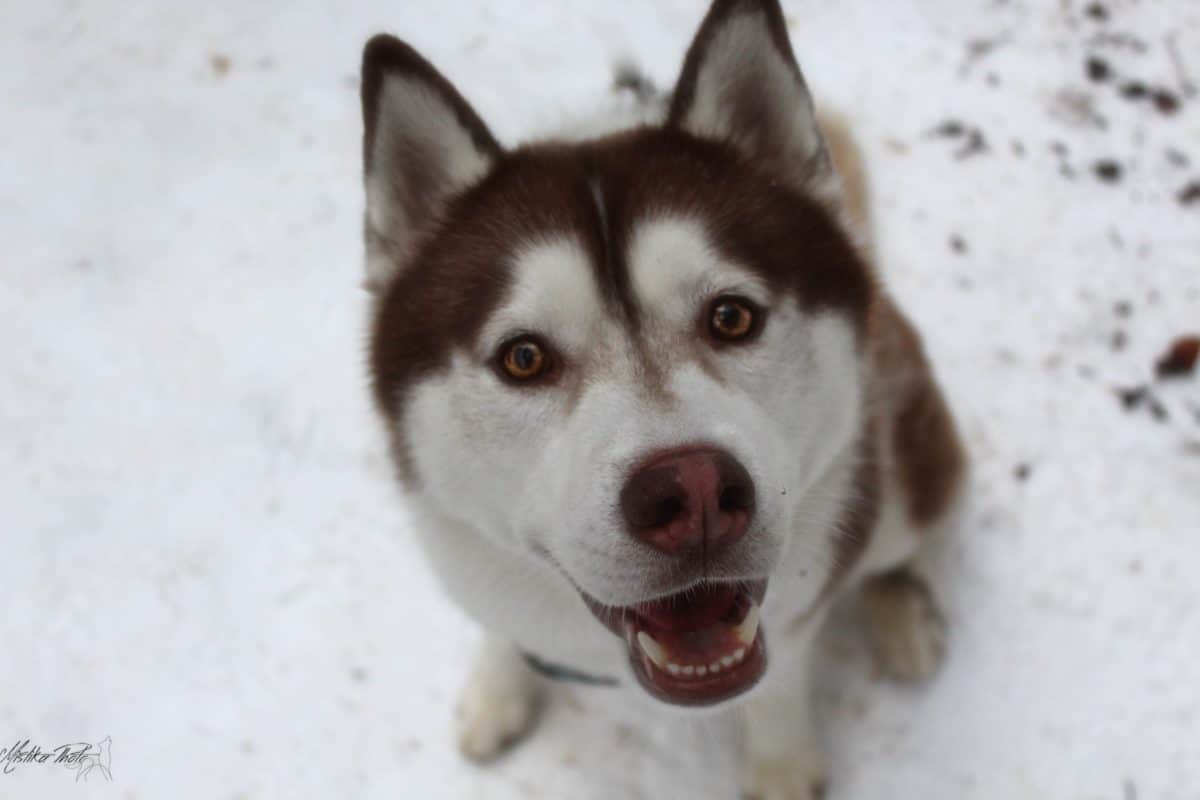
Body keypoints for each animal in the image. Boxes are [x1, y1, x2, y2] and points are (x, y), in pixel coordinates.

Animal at [355, 1, 964, 796]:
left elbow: (781, 681)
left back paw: (904, 615)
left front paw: (781, 765)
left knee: (901, 540)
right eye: (523, 357)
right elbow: (497, 624)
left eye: (732, 316)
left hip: (906, 463)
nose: (694, 492)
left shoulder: (802, 602)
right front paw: (498, 688)